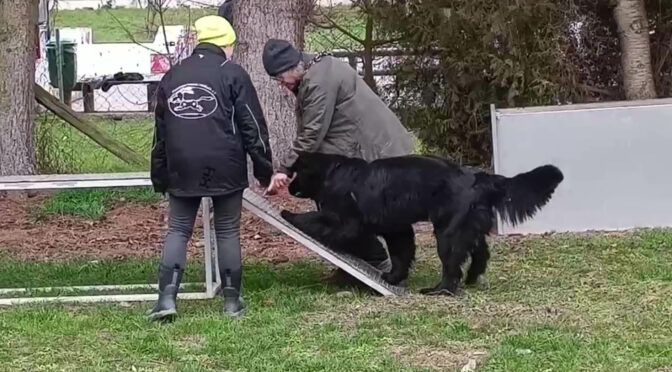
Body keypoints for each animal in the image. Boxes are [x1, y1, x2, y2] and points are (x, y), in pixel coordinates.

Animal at [280, 152, 564, 296]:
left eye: (296, 172)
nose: (289, 187)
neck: (333, 171)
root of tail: (476, 177)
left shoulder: (347, 221)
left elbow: (316, 219)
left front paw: (289, 215)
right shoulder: (397, 229)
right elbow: (400, 255)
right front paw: (393, 278)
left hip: (447, 233)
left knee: (452, 268)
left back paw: (440, 290)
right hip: (468, 227)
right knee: (480, 254)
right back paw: (472, 278)